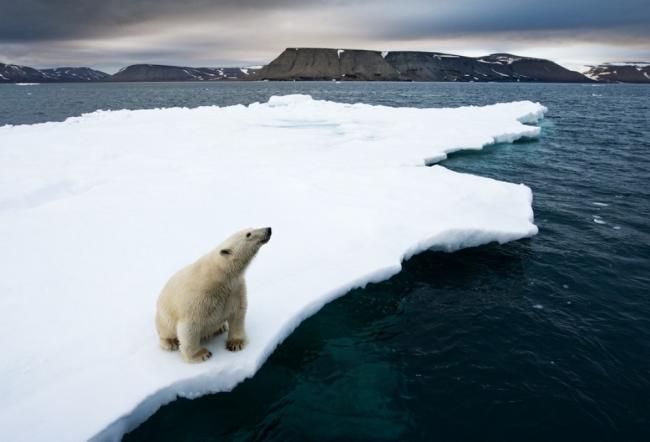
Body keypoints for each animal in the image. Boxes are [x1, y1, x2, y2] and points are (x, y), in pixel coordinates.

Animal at [155, 228, 270, 362]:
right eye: (248, 234)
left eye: (250, 228)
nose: (268, 229)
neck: (220, 276)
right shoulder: (198, 297)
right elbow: (189, 326)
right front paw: (201, 354)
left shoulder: (235, 289)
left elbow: (238, 313)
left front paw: (236, 344)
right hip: (163, 317)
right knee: (166, 329)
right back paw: (170, 342)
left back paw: (220, 328)